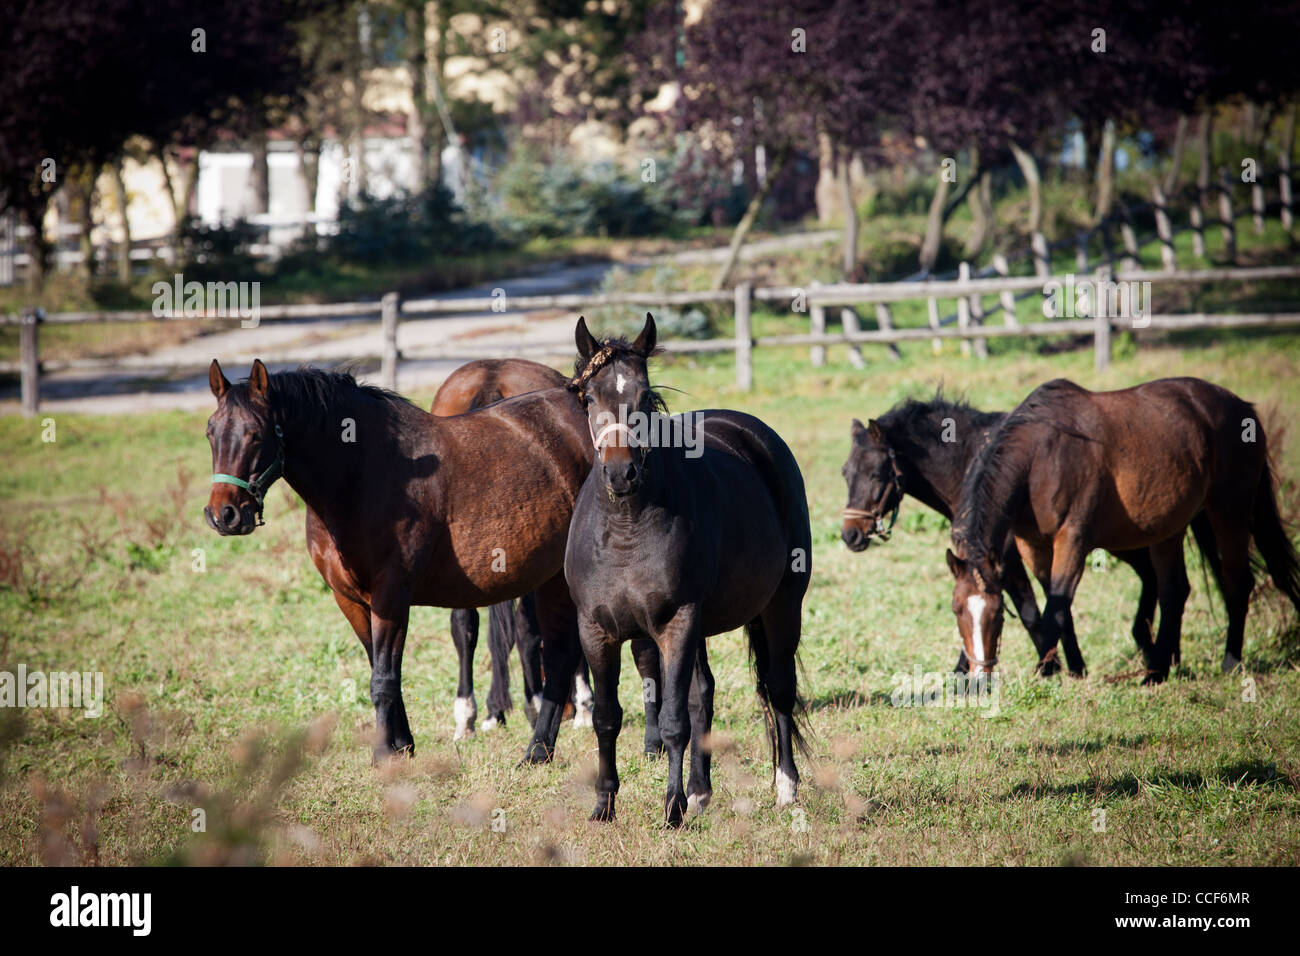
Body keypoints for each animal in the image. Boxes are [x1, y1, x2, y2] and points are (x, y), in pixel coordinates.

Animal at [203, 358, 592, 763]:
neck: (362, 474)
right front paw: (402, 744)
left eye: (255, 435)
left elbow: (383, 679)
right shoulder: (350, 599)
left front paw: (383, 755)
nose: (224, 515)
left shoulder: (391, 595)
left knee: (561, 653)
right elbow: (380, 667)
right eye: (210, 433)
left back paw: (542, 744)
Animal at [564, 314, 811, 826]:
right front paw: (604, 805)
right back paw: (701, 791)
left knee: (778, 688)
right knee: (704, 695)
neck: (626, 529)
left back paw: (785, 786)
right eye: (590, 398)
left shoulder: (677, 623)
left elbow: (673, 720)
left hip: (781, 606)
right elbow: (607, 718)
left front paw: (672, 808)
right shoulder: (596, 631)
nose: (621, 474)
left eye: (643, 396)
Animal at [840, 390, 1222, 674]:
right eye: (845, 472)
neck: (973, 460)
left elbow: (1029, 610)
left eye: (875, 473)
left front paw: (1050, 667)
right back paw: (1158, 651)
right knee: (1156, 579)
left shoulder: (1008, 556)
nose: (850, 534)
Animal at [946, 377, 1300, 683]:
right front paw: (1069, 668)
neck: (1040, 457)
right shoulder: (1033, 546)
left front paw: (1044, 672)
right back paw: (1156, 672)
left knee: (1237, 583)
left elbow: (1056, 611)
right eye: (956, 609)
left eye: (998, 614)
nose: (979, 676)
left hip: (1230, 512)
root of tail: (1244, 408)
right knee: (1174, 592)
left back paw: (1229, 661)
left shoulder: (1073, 540)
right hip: (1168, 529)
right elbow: (1055, 606)